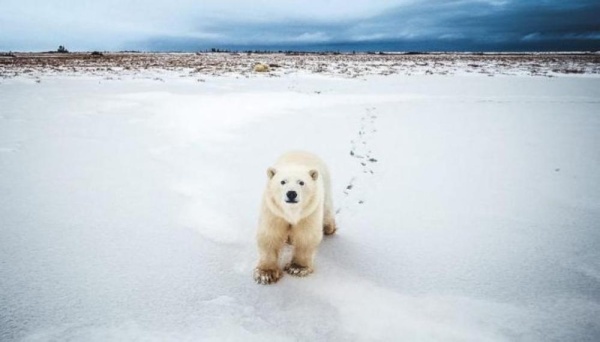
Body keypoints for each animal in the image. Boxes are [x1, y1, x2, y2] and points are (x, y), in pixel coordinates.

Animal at [253, 151, 338, 284]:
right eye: (282, 182)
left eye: (301, 182)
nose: (291, 193)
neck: (291, 212)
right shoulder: (274, 212)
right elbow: (270, 234)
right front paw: (266, 274)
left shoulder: (308, 214)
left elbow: (306, 236)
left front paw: (297, 268)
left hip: (325, 186)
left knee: (327, 207)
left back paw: (329, 227)